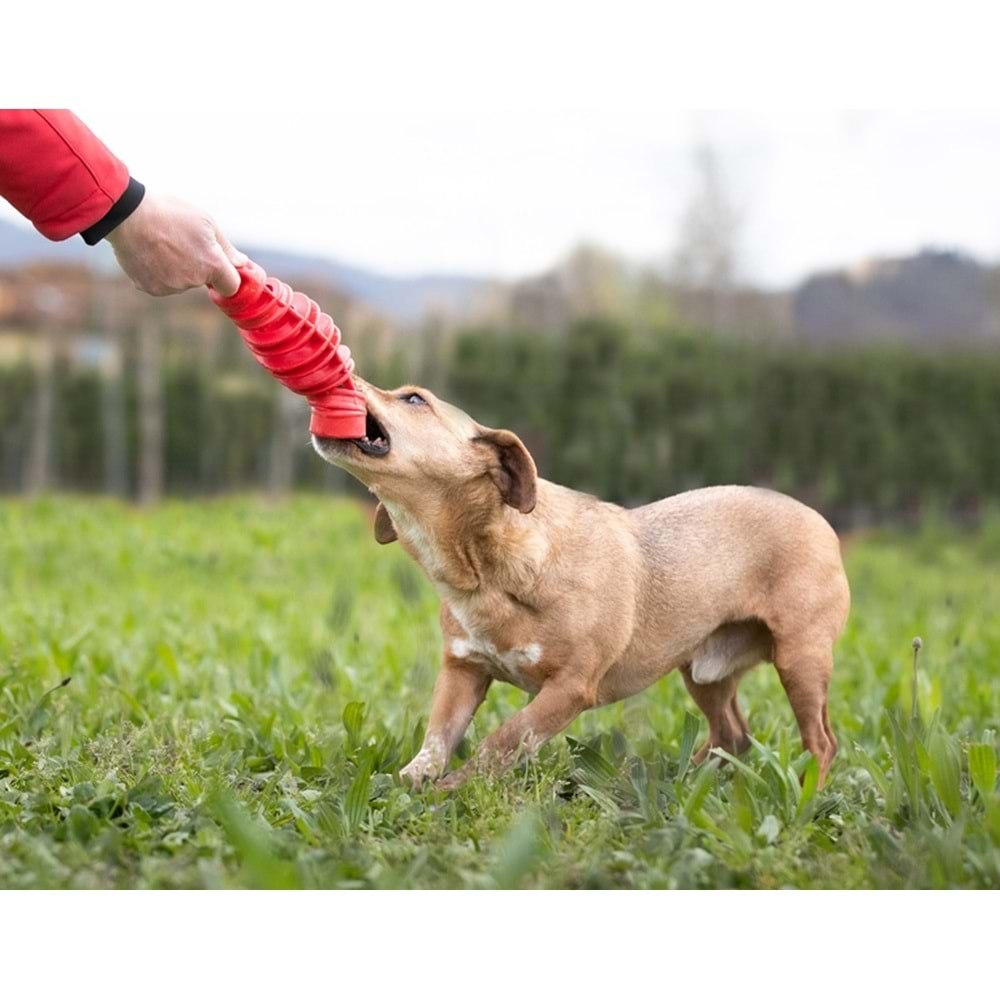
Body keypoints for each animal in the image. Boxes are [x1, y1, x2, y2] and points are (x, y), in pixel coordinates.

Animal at [314, 376, 852, 788]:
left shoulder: (570, 688)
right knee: (731, 735)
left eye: (413, 399)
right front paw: (412, 780)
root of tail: (824, 523)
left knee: (822, 741)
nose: (346, 373)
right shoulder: (462, 672)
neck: (486, 573)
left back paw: (805, 795)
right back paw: (685, 781)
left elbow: (503, 739)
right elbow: (438, 736)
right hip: (703, 672)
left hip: (800, 660)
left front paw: (454, 789)